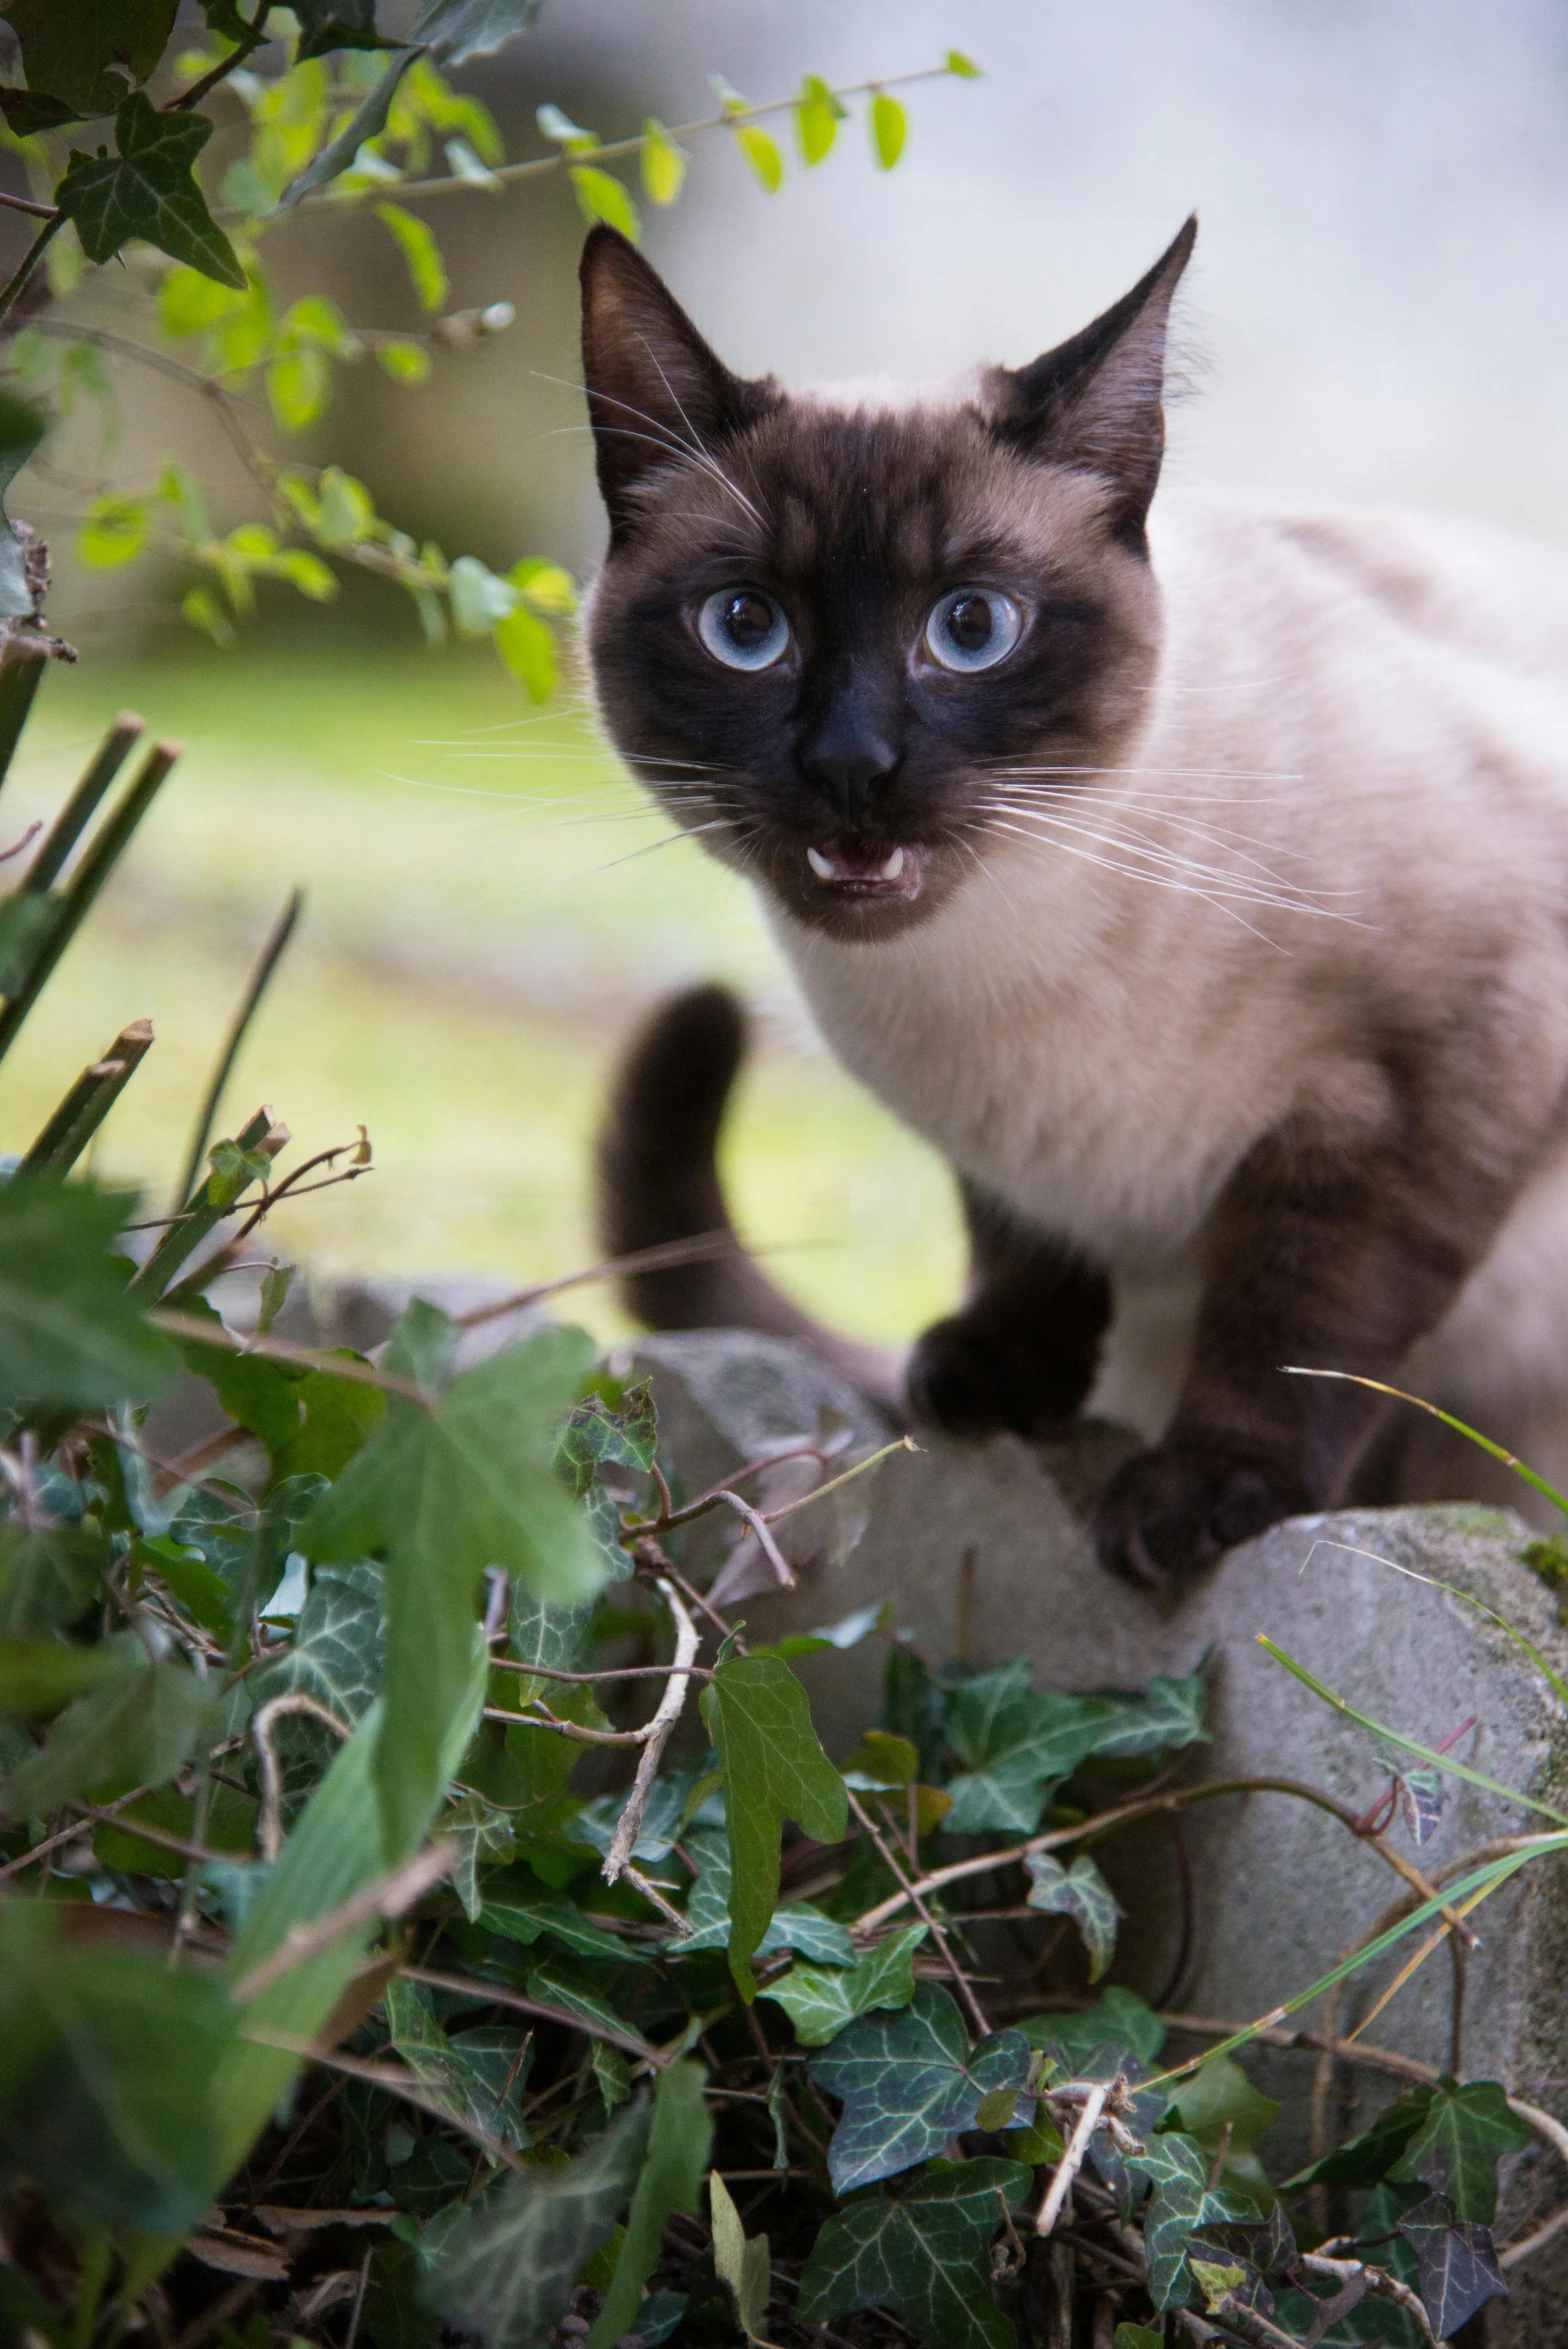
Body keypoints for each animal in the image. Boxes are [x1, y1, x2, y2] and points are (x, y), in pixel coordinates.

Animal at [575, 220, 1568, 1587]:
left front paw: (1197, 1501)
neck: (984, 980)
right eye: (744, 627)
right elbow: (1021, 1246)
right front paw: (992, 1383)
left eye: (971, 628)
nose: (850, 767)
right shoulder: (1006, 1154)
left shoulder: (1425, 1084)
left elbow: (1299, 1320)